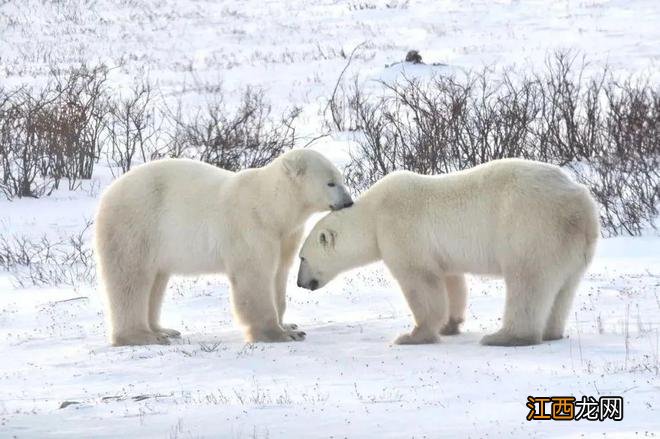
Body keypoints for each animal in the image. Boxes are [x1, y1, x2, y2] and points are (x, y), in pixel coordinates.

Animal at [95, 150, 354, 348]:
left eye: (341, 179)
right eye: (330, 182)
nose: (348, 202)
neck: (272, 206)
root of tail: (108, 193)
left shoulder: (284, 235)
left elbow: (278, 275)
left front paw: (289, 325)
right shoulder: (252, 227)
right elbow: (254, 277)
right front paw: (278, 334)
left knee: (156, 281)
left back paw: (163, 330)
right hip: (137, 225)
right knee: (131, 279)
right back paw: (141, 336)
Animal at [296, 159, 600, 348]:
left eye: (302, 258)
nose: (300, 283)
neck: (372, 214)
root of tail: (580, 203)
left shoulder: (400, 228)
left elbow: (420, 281)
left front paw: (412, 335)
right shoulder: (441, 253)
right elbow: (451, 280)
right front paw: (450, 325)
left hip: (532, 227)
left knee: (527, 281)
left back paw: (504, 337)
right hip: (572, 245)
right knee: (563, 288)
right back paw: (551, 332)